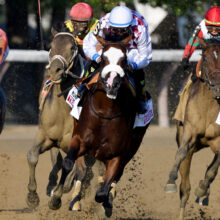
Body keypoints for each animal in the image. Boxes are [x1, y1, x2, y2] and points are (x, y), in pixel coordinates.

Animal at [25, 24, 87, 210]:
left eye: (72, 47)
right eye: (51, 46)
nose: (55, 70)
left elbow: (73, 170)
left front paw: (56, 198)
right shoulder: (45, 136)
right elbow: (32, 156)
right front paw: (32, 197)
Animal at [48, 35, 150, 216]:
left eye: (124, 60)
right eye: (103, 58)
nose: (111, 84)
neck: (105, 114)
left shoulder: (117, 155)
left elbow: (102, 192)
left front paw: (107, 202)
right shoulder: (79, 139)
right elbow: (68, 164)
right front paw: (56, 198)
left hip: (132, 147)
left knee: (115, 176)